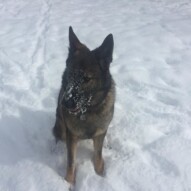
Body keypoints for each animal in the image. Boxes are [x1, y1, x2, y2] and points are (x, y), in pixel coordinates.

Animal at [52, 26, 115, 184]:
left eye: (87, 78)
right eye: (70, 74)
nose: (65, 103)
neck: (88, 111)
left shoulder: (100, 133)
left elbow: (98, 155)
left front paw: (100, 173)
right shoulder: (71, 136)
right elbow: (71, 161)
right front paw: (68, 182)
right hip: (60, 124)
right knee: (57, 135)